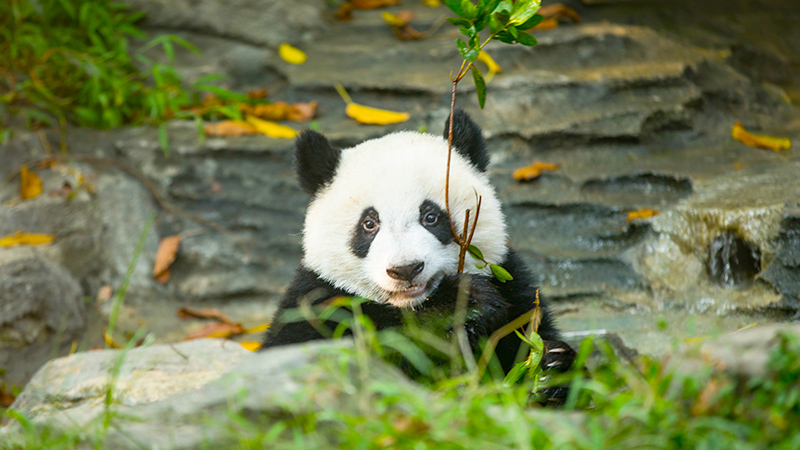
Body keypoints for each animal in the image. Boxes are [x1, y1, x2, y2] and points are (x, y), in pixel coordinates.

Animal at [262, 110, 575, 397]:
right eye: (369, 224)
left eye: (431, 217)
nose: (405, 269)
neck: (409, 305)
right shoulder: (317, 301)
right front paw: (457, 305)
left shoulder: (513, 287)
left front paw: (549, 368)